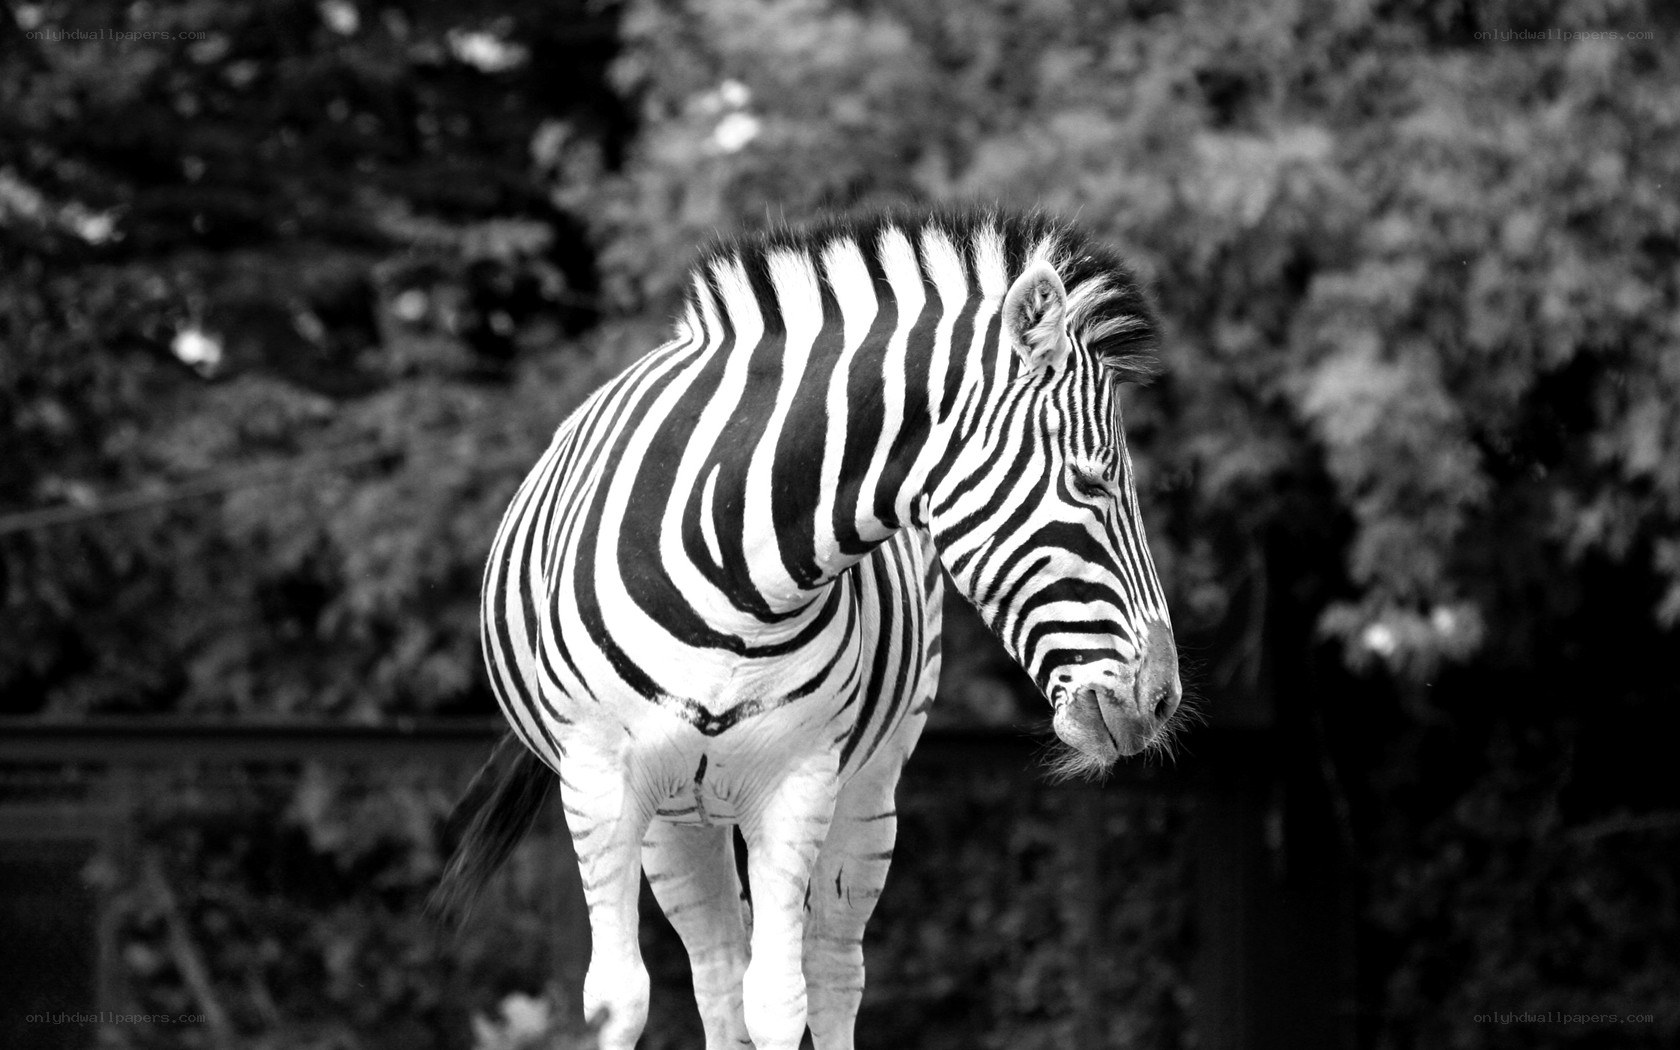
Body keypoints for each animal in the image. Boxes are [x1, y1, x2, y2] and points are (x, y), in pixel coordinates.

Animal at [434, 207, 1183, 1050]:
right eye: (1092, 482)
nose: (1163, 698)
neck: (737, 562)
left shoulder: (800, 783)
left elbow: (781, 1000)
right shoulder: (599, 780)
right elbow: (619, 999)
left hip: (870, 788)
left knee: (828, 970)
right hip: (676, 818)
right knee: (717, 971)